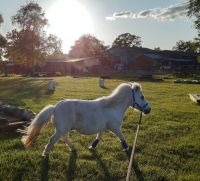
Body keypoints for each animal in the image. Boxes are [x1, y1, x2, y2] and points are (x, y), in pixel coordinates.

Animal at [21, 82, 151, 156]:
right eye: (142, 97)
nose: (148, 110)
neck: (113, 107)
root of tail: (55, 107)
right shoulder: (115, 128)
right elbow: (122, 137)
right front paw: (127, 149)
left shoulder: (103, 128)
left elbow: (98, 137)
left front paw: (92, 146)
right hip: (61, 130)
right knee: (53, 139)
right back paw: (46, 153)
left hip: (64, 129)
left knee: (65, 138)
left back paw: (73, 148)